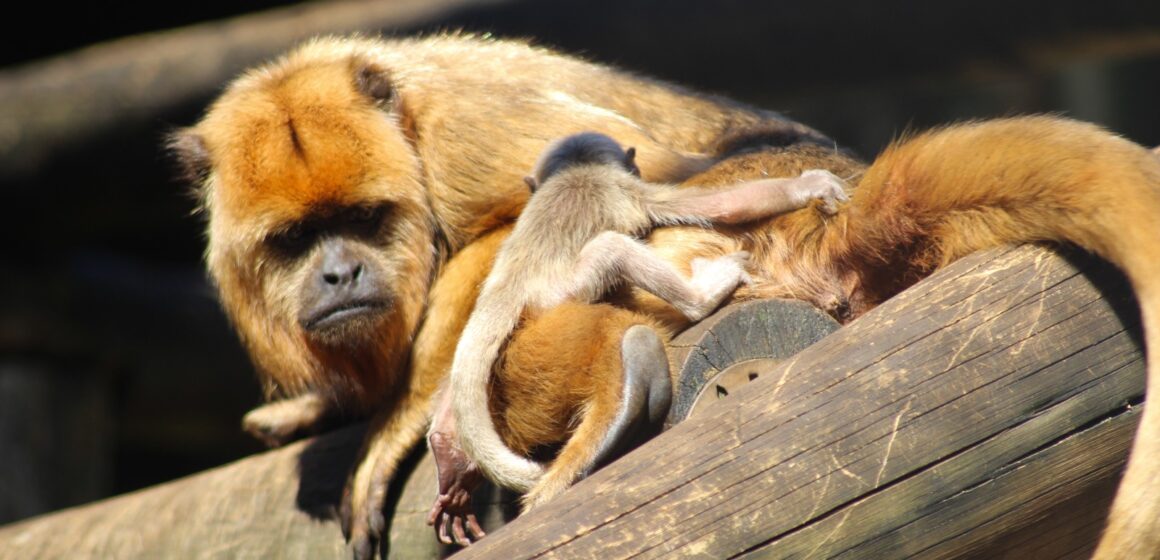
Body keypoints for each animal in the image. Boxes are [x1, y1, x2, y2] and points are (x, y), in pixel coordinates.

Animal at [426, 131, 844, 542]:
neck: (575, 170)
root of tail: (506, 289)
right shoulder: (629, 189)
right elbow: (722, 206)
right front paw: (809, 186)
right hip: (561, 294)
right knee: (612, 249)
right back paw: (700, 300)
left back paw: (446, 450)